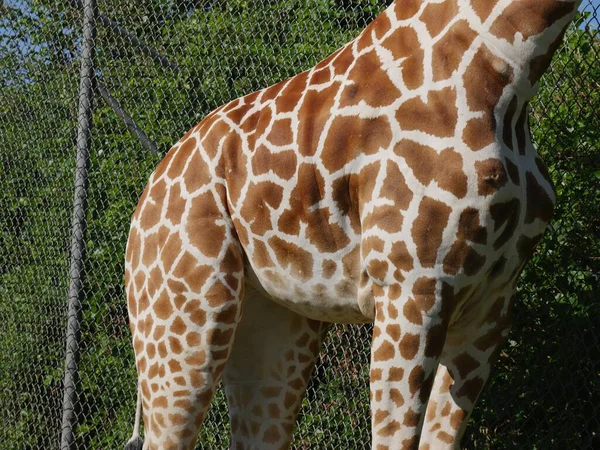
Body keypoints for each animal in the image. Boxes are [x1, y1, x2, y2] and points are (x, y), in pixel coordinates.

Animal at [125, 0, 580, 446]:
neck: (510, 73)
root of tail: (145, 195)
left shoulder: (489, 308)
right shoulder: (412, 287)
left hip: (273, 327)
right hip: (183, 318)